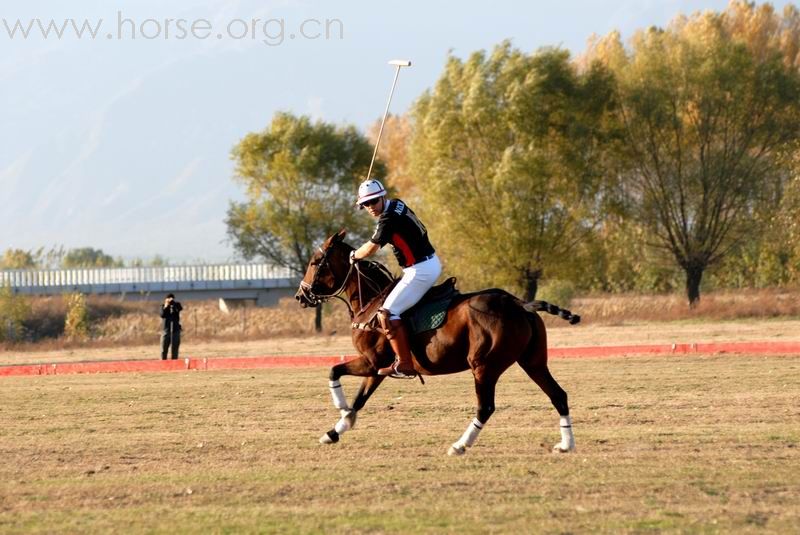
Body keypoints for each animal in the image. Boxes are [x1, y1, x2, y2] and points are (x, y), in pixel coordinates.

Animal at [296, 230, 580, 456]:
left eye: (315, 262)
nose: (301, 295)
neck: (371, 303)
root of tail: (519, 304)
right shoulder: (377, 369)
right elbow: (358, 399)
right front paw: (335, 431)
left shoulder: (372, 362)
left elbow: (337, 374)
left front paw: (339, 409)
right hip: (533, 361)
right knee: (558, 395)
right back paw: (566, 444)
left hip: (484, 366)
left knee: (486, 407)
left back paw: (459, 445)